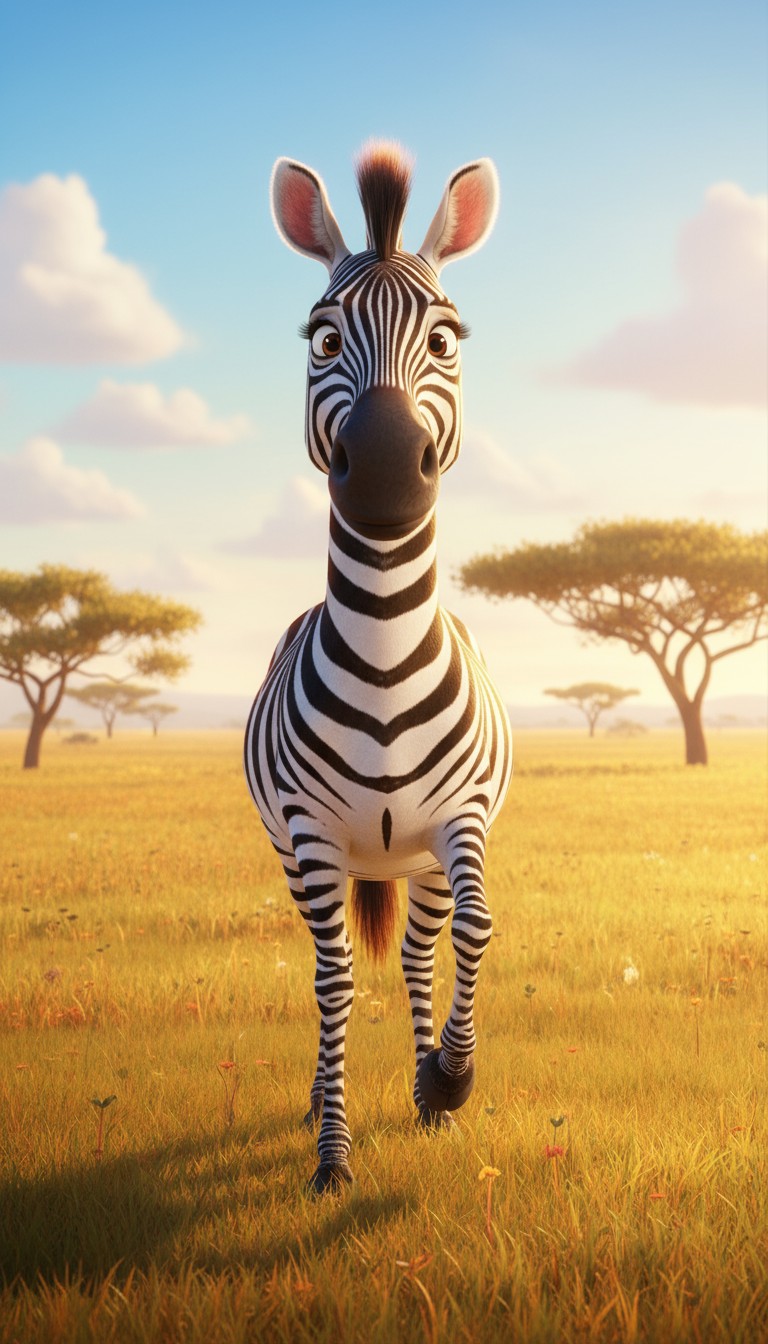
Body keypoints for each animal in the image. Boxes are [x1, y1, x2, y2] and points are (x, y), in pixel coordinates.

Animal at [245, 143, 512, 1194]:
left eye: (446, 338)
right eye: (321, 339)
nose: (393, 467)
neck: (389, 648)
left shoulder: (462, 819)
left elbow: (474, 931)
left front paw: (448, 1078)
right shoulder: (311, 833)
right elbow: (329, 980)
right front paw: (331, 1154)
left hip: (417, 858)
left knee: (421, 948)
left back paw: (431, 1088)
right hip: (301, 854)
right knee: (341, 964)